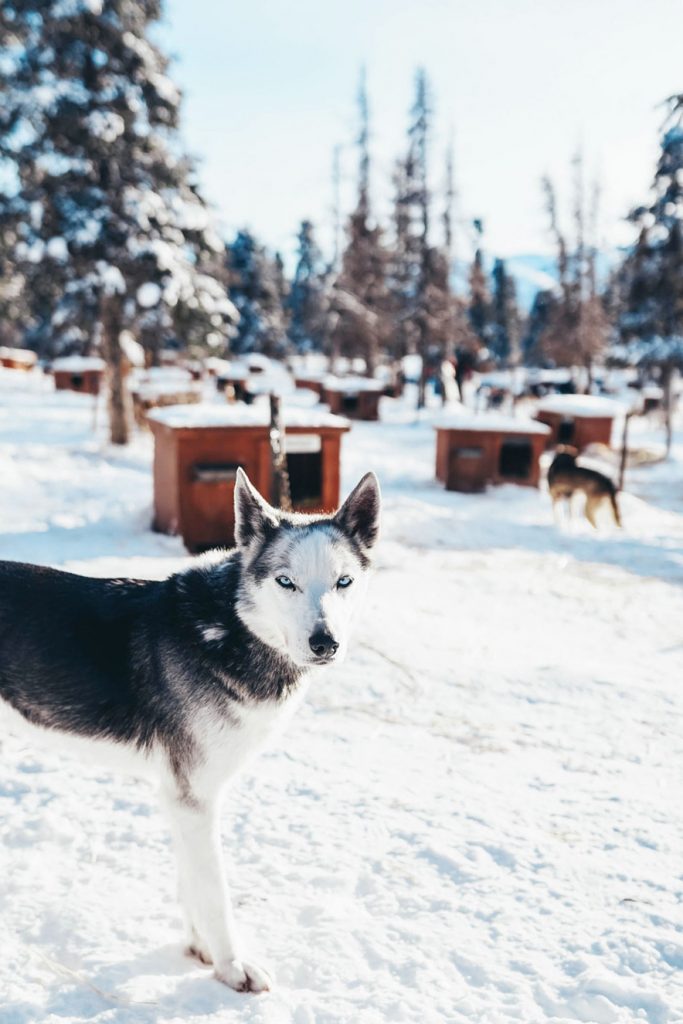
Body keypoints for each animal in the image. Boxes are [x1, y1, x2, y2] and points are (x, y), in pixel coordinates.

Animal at [0, 468, 378, 991]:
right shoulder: (193, 797)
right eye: (286, 582)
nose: (325, 643)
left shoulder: (181, 796)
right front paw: (231, 966)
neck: (231, 629)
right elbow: (214, 892)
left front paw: (201, 948)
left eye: (344, 582)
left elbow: (192, 883)